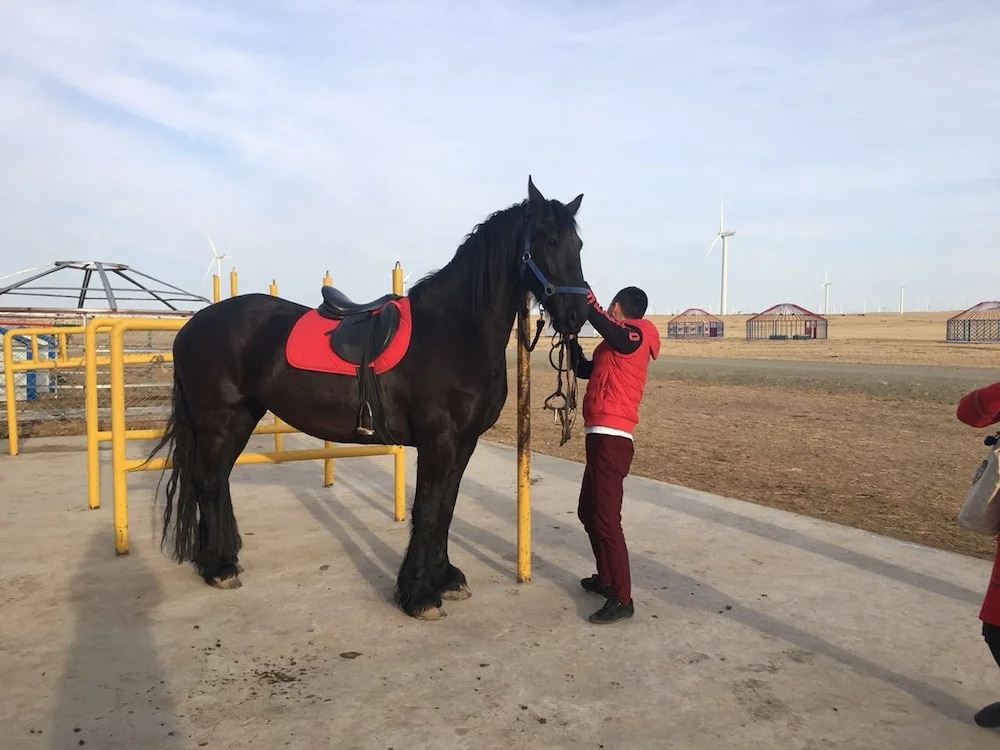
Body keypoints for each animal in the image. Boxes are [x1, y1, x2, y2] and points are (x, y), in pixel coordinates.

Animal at [146, 176, 590, 620]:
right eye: (550, 240)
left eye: (579, 245)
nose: (577, 315)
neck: (455, 330)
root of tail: (191, 328)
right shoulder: (439, 440)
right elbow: (428, 509)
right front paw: (419, 594)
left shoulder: (465, 442)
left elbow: (447, 508)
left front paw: (446, 579)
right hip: (217, 422)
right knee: (207, 481)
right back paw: (218, 568)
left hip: (241, 418)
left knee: (217, 479)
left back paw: (220, 559)